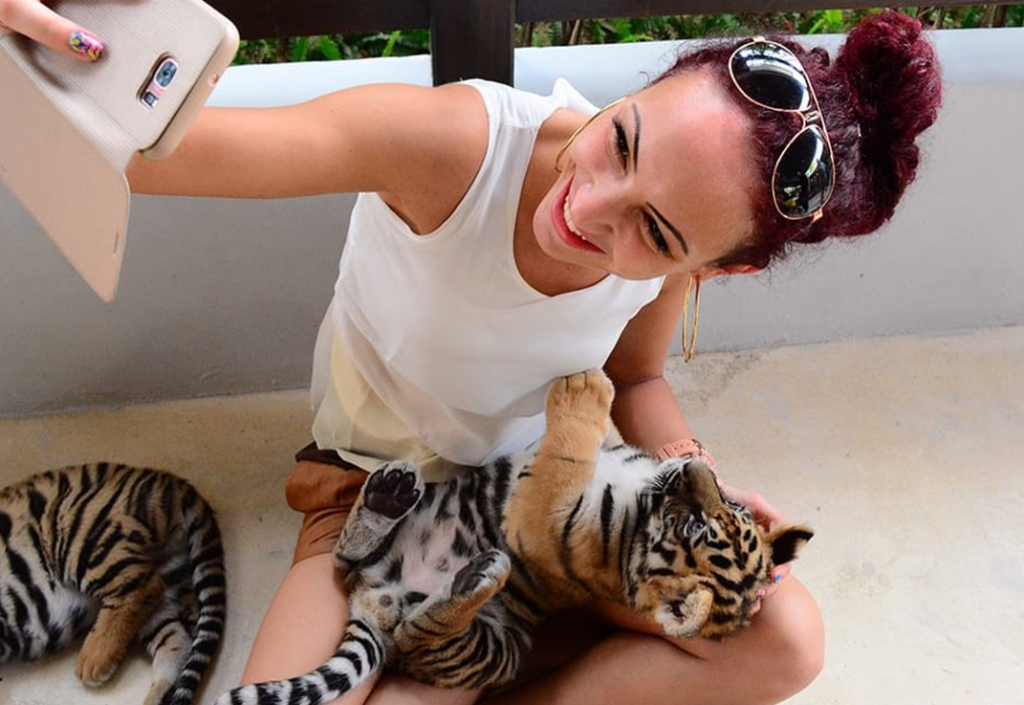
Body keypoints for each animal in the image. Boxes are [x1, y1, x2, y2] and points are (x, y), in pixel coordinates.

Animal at [0, 463, 226, 705]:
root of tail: (172, 481)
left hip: (80, 534)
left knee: (141, 587)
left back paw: (92, 661)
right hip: (164, 583)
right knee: (176, 639)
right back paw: (155, 695)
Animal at [219, 369, 812, 704]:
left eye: (694, 524)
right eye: (727, 506)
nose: (696, 470)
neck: (642, 509)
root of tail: (375, 602)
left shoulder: (540, 520)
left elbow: (565, 458)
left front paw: (584, 386)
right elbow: (596, 440)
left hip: (493, 648)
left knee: (412, 635)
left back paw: (475, 577)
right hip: (428, 506)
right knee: (346, 559)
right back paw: (389, 497)